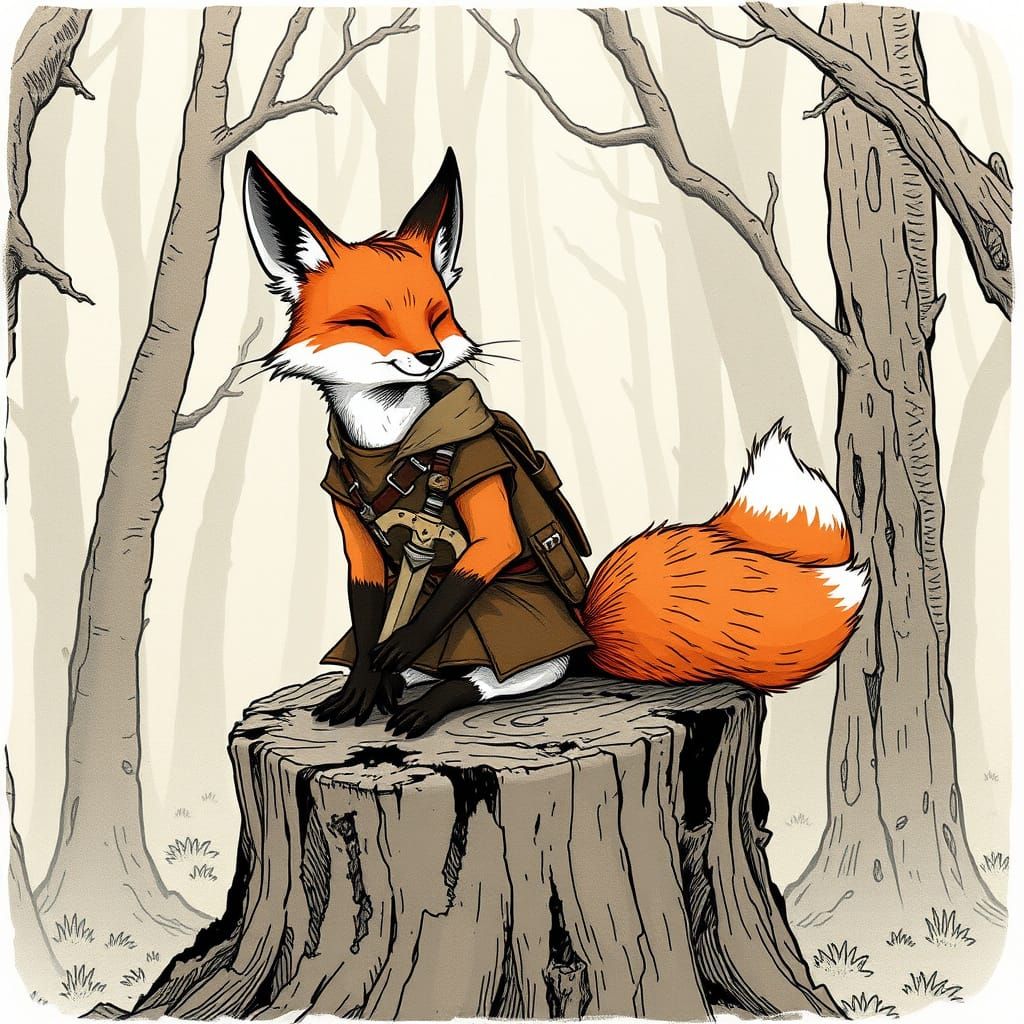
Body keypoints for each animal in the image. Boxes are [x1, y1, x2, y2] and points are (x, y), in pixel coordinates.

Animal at [242, 147, 868, 738]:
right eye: (369, 323)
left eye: (438, 316)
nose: (429, 356)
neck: (388, 440)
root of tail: (586, 627)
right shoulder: (349, 509)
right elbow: (368, 597)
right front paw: (365, 683)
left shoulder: (473, 475)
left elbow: (486, 548)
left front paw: (391, 658)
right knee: (426, 666)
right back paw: (397, 683)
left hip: (518, 629)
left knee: (504, 674)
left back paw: (431, 699)